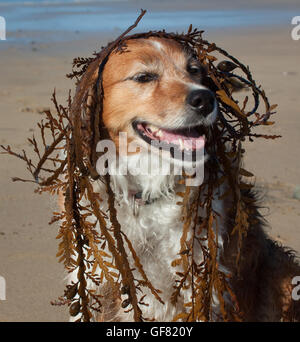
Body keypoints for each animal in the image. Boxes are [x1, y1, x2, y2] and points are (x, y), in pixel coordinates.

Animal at [62, 36, 298, 322]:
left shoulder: (202, 285)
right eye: (144, 77)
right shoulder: (94, 279)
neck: (145, 191)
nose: (206, 99)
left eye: (194, 70)